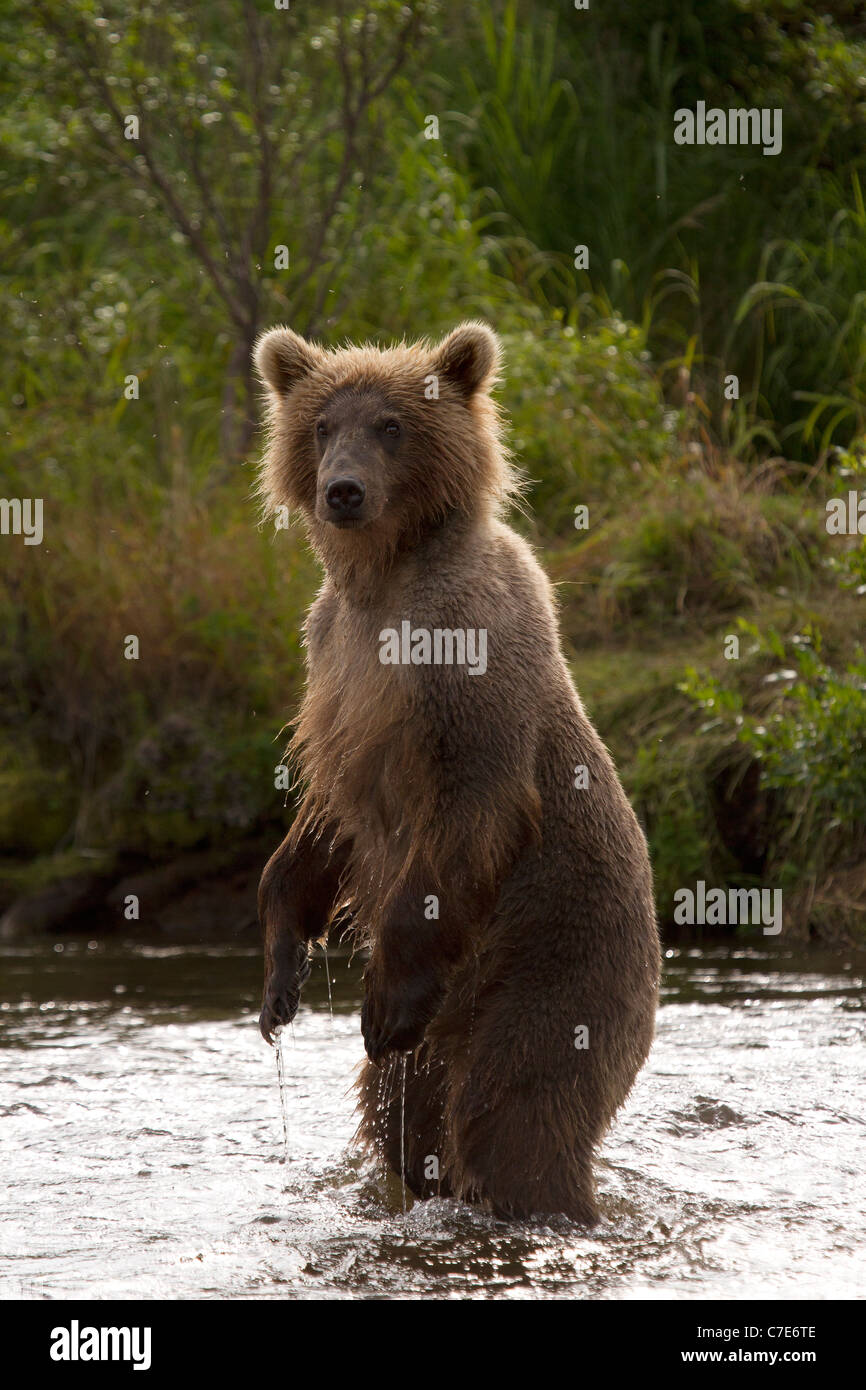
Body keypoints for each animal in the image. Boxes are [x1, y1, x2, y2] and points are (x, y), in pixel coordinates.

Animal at [253, 321, 660, 1224]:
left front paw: (382, 1001)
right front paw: (280, 968)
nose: (342, 492)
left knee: (514, 1110)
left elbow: (472, 804)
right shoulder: (332, 665)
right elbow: (325, 814)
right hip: (451, 1033)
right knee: (403, 1116)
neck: (386, 575)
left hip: (555, 965)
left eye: (391, 426)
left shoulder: (462, 661)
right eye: (323, 424)